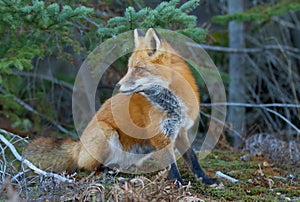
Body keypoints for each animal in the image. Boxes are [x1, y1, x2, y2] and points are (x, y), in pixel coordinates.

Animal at [23, 28, 219, 186]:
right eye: (129, 68)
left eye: (138, 69)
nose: (116, 86)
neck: (172, 103)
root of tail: (78, 146)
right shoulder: (160, 133)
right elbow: (172, 165)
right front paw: (178, 185)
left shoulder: (180, 130)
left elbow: (193, 159)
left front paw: (206, 180)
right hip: (106, 132)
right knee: (87, 167)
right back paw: (106, 172)